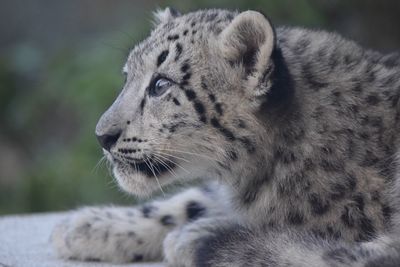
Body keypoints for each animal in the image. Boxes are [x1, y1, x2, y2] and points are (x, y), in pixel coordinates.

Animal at [51, 7, 400, 266]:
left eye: (161, 84)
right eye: (127, 77)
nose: (102, 136)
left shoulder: (349, 215)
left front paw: (194, 235)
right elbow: (197, 197)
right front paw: (85, 226)